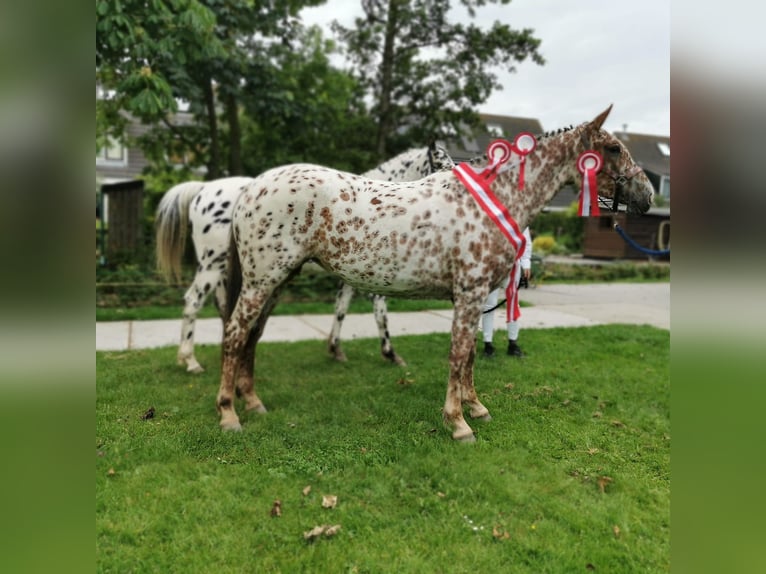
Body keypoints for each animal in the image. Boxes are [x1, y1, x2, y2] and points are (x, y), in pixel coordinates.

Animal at [156, 144, 456, 374]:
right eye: (442, 166)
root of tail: (203, 190)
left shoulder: (351, 277)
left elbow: (341, 308)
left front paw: (335, 350)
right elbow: (380, 313)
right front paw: (391, 354)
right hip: (213, 265)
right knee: (193, 302)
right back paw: (190, 361)